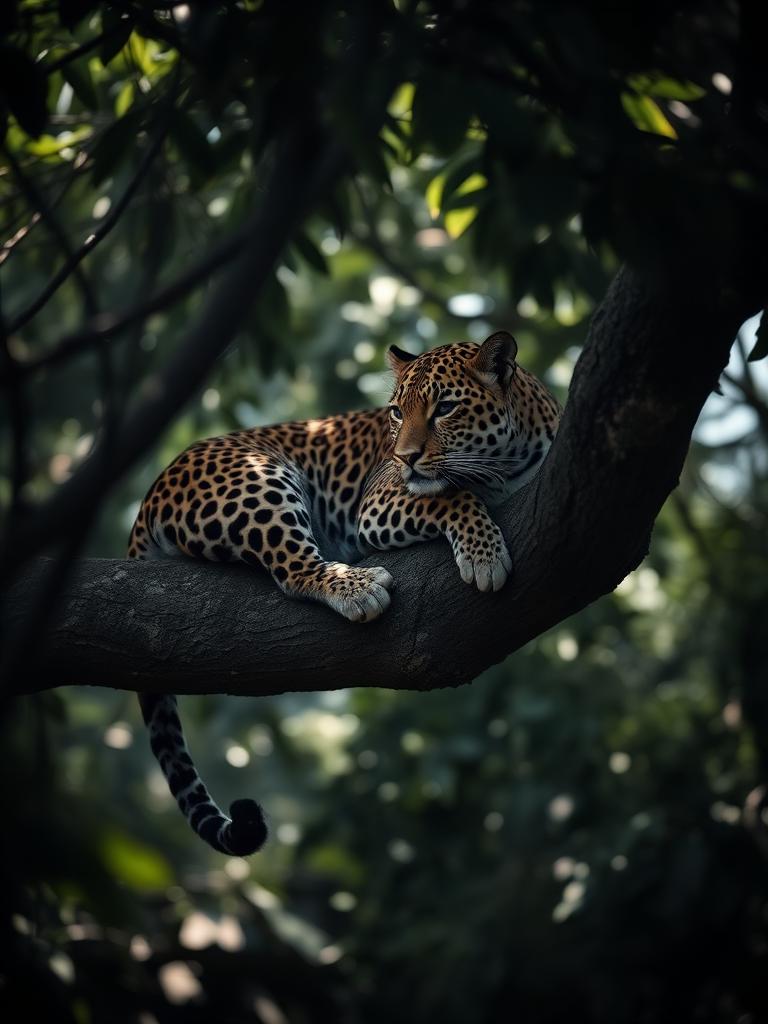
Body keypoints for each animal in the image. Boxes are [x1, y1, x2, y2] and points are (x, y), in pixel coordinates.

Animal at [128, 331, 560, 855]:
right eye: (396, 412)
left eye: (445, 408)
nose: (403, 457)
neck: (509, 460)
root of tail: (153, 489)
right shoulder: (381, 498)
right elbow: (453, 495)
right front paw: (483, 555)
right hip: (258, 477)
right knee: (293, 568)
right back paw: (357, 588)